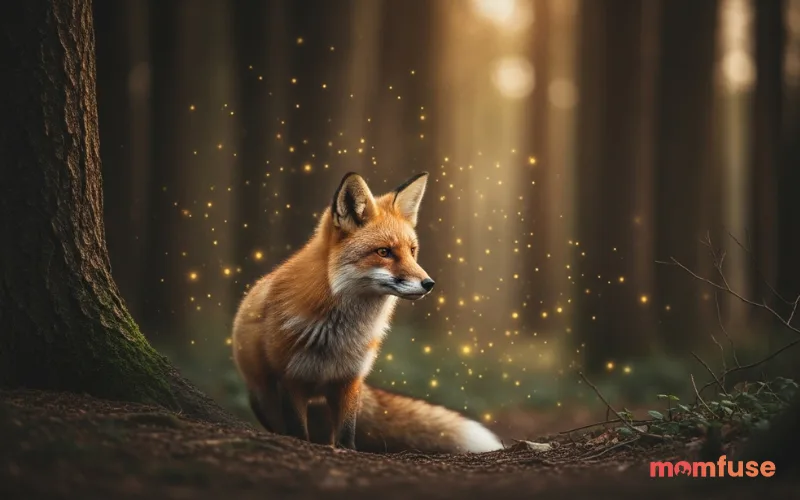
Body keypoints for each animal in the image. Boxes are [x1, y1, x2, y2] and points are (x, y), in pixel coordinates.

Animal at [231, 171, 504, 454]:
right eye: (384, 252)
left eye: (412, 251)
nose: (429, 284)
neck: (335, 336)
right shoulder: (291, 381)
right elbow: (297, 431)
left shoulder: (349, 380)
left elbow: (346, 434)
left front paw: (345, 451)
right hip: (262, 397)